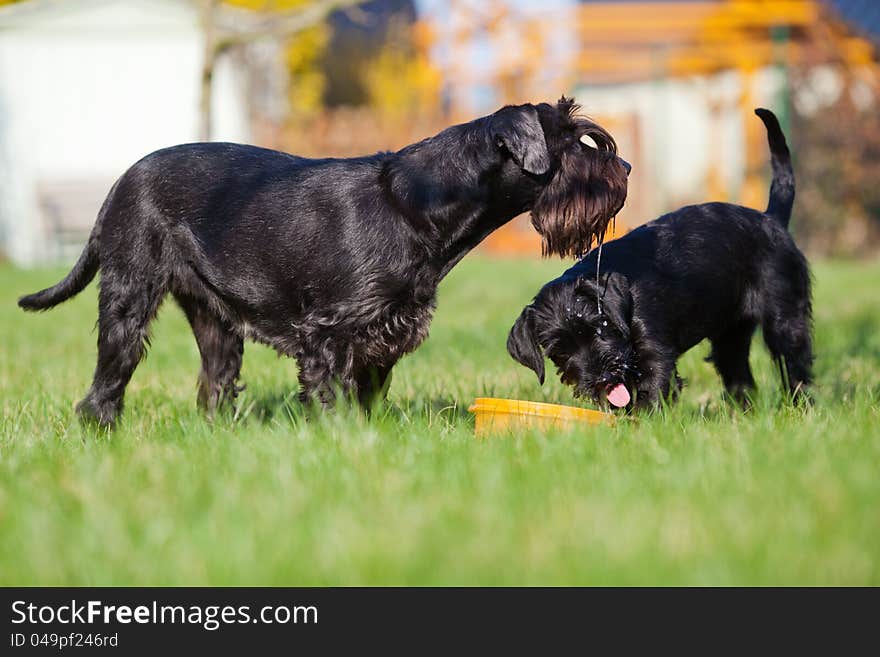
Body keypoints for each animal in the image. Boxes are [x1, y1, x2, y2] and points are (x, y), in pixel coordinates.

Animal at [18, 96, 624, 426]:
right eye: (573, 141)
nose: (625, 170)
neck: (417, 202)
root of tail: (122, 180)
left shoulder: (382, 338)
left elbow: (366, 399)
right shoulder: (328, 336)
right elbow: (330, 398)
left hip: (216, 325)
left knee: (214, 384)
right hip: (128, 300)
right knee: (109, 378)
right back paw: (100, 428)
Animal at [506, 110, 816, 410]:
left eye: (600, 327)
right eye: (559, 350)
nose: (602, 378)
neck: (626, 301)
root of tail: (771, 218)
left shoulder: (654, 355)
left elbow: (651, 394)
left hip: (785, 320)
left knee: (794, 365)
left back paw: (801, 408)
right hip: (730, 333)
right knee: (738, 374)